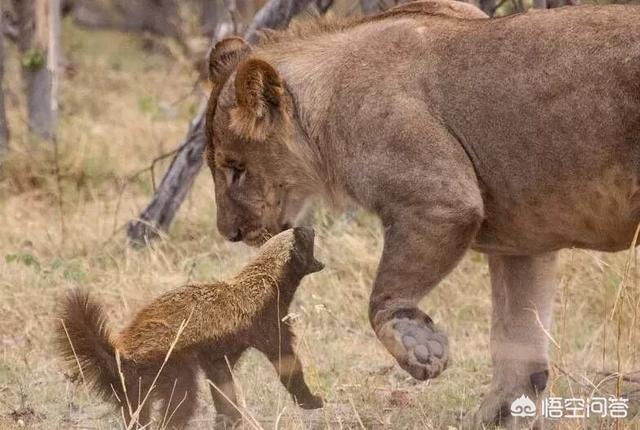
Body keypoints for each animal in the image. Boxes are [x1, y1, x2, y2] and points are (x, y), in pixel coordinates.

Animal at [56, 227, 324, 428]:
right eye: (304, 236)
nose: (311, 227)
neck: (266, 280)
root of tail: (121, 353)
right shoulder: (266, 322)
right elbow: (286, 362)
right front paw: (312, 400)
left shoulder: (217, 355)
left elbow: (223, 385)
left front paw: (230, 418)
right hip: (171, 365)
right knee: (180, 402)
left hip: (136, 388)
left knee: (137, 414)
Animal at [202, 1, 640, 426]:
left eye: (235, 168)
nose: (229, 232)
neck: (323, 110)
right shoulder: (523, 240)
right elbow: (517, 343)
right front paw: (496, 415)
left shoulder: (440, 200)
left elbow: (383, 297)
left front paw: (420, 348)